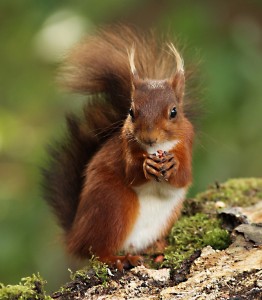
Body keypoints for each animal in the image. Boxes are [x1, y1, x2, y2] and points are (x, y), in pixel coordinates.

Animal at [43, 25, 194, 270]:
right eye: (131, 112)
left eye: (174, 112)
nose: (149, 138)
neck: (157, 148)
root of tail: (75, 236)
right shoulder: (125, 148)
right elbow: (131, 173)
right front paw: (146, 166)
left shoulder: (187, 145)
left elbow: (184, 177)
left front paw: (173, 165)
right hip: (114, 205)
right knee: (97, 251)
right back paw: (118, 258)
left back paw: (155, 247)